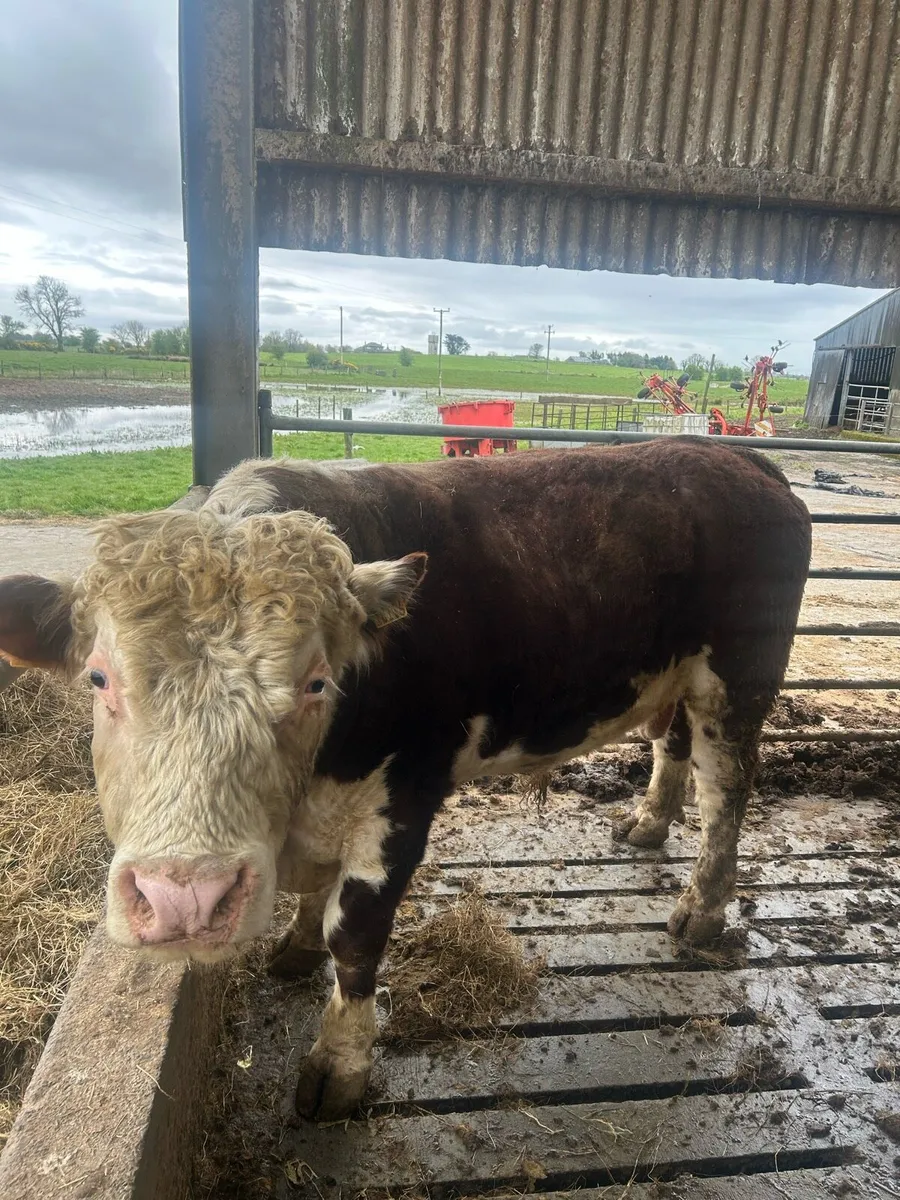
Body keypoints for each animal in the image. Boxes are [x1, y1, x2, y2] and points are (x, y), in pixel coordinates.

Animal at [0, 437, 811, 1120]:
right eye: (99, 677)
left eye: (317, 683)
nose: (186, 897)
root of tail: (738, 458)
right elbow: (317, 906)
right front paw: (296, 946)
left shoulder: (403, 799)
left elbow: (355, 936)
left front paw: (339, 1065)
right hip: (682, 676)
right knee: (674, 744)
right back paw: (647, 822)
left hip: (740, 680)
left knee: (726, 790)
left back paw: (701, 908)